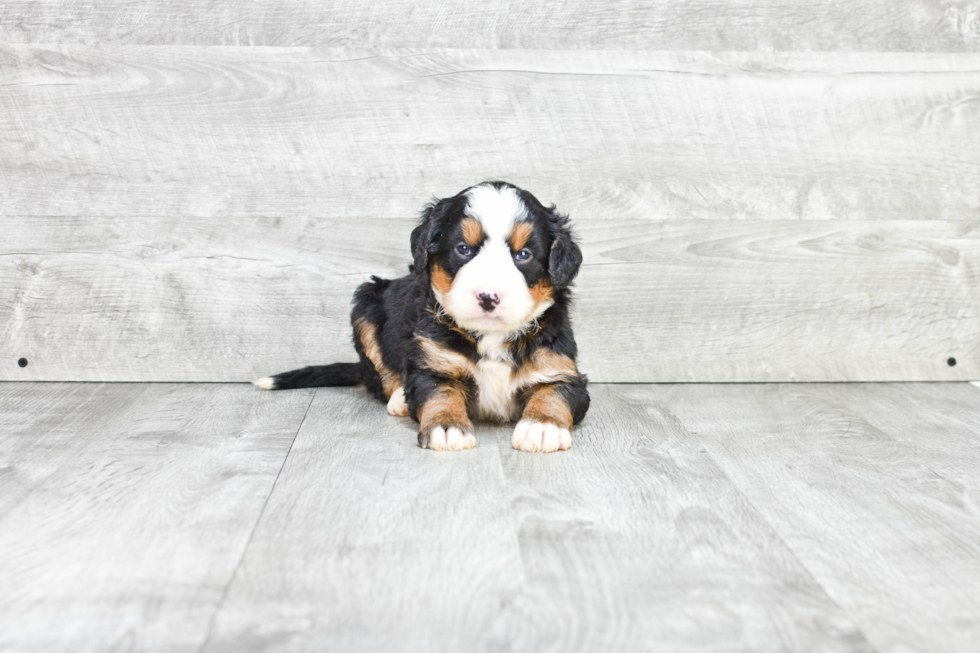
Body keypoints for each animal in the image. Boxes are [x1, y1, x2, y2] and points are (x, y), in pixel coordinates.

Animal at [255, 181, 588, 450]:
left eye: (523, 255)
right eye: (463, 249)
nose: (488, 296)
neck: (490, 337)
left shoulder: (559, 367)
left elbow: (554, 394)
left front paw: (542, 427)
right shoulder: (433, 363)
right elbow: (440, 393)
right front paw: (448, 427)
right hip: (366, 304)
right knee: (383, 375)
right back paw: (400, 399)